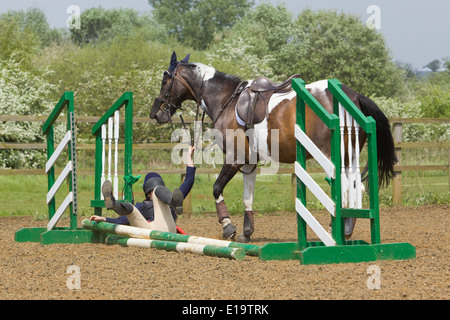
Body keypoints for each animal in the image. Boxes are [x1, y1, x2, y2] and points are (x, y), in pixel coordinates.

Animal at [149, 52, 396, 242]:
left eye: (164, 81)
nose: (156, 114)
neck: (226, 99)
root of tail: (354, 96)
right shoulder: (248, 163)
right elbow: (247, 198)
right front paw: (246, 233)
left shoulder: (235, 159)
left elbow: (217, 188)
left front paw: (228, 227)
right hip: (349, 157)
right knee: (355, 188)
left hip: (332, 157)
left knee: (346, 188)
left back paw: (336, 232)